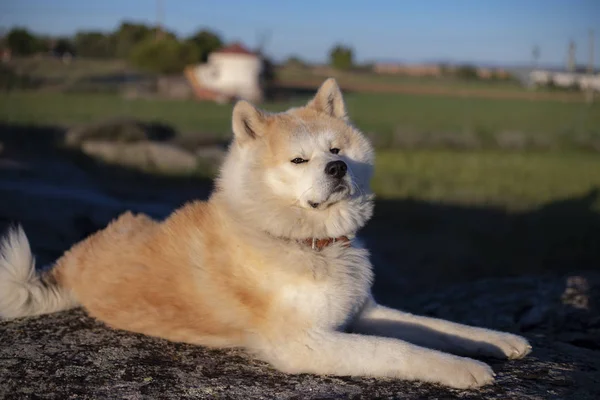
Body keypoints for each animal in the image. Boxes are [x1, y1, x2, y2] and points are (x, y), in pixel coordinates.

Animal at [0, 78, 532, 388]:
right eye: (299, 160)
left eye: (335, 148)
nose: (338, 168)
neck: (305, 242)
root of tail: (71, 263)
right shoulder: (305, 343)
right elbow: (401, 349)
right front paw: (463, 368)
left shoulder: (363, 311)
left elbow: (435, 325)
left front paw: (498, 340)